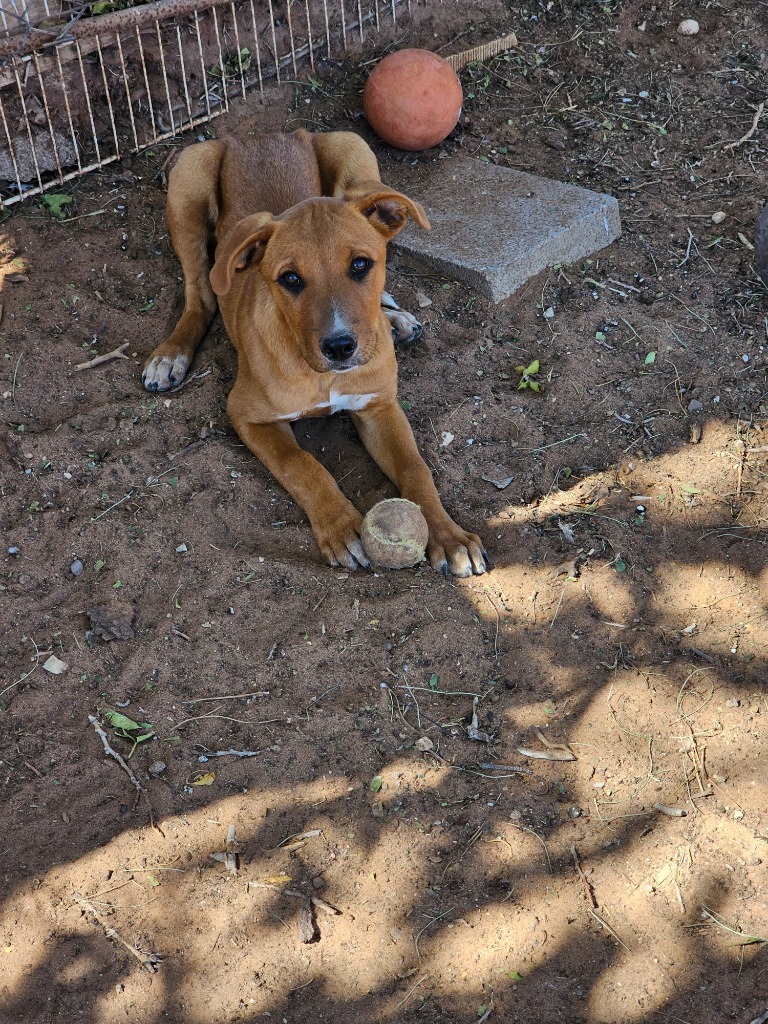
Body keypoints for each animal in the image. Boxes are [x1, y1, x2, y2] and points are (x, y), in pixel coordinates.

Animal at [144, 130, 487, 577]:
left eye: (360, 265)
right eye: (290, 279)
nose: (340, 346)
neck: (324, 376)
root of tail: (259, 135)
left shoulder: (380, 407)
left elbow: (416, 468)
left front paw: (449, 537)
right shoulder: (246, 414)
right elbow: (304, 465)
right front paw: (341, 527)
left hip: (353, 146)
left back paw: (394, 320)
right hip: (188, 178)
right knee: (199, 294)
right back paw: (171, 355)